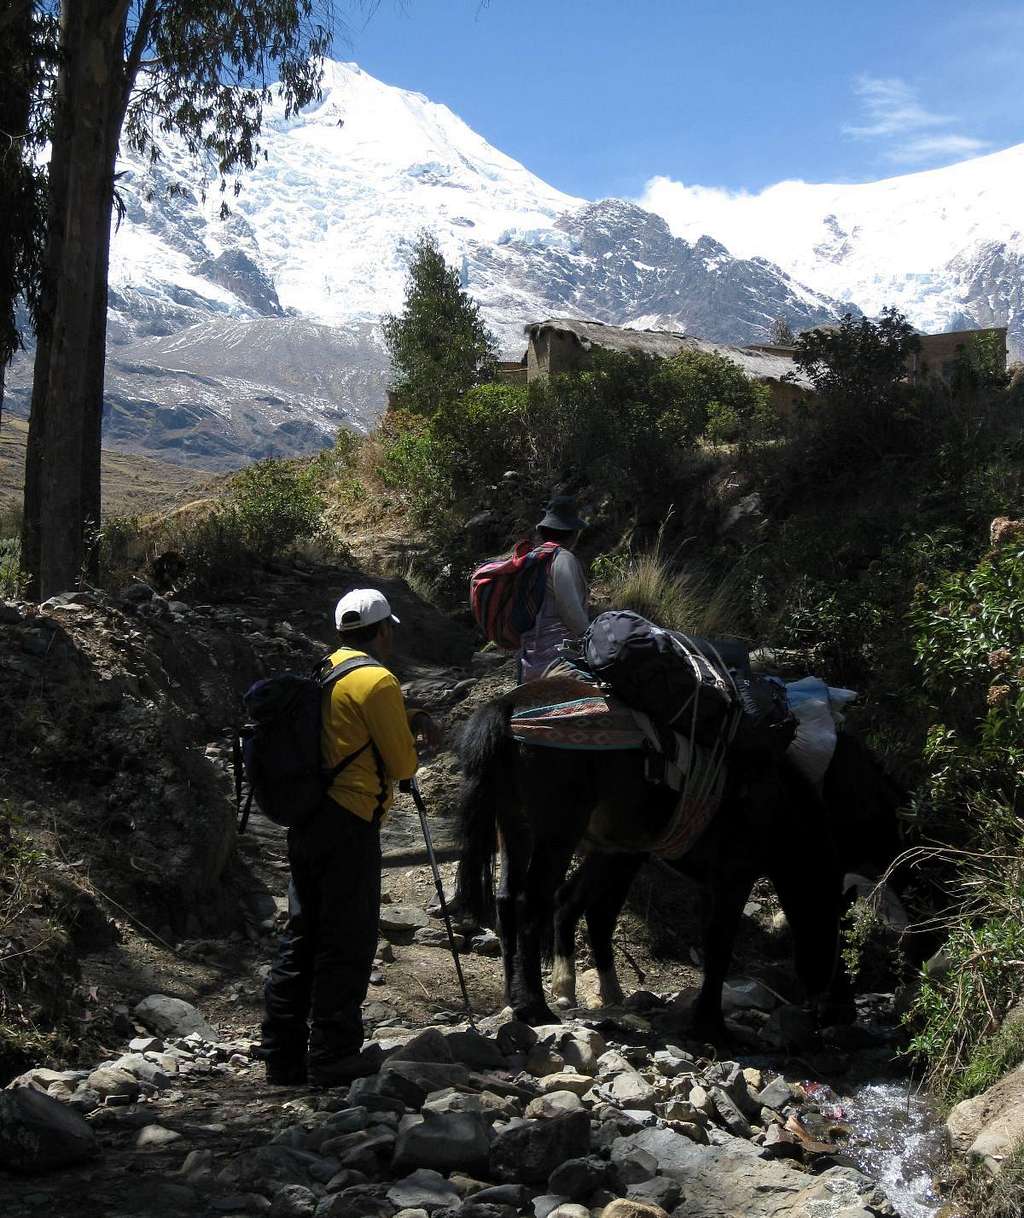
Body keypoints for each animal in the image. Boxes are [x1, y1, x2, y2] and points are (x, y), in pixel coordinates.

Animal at [450, 682, 901, 1032]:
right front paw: (711, 1025)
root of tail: (508, 707)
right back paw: (535, 1007)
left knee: (515, 902)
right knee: (536, 905)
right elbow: (719, 946)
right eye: (839, 939)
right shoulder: (732, 877)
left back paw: (521, 998)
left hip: (519, 830)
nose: (843, 1012)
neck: (777, 806)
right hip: (557, 836)